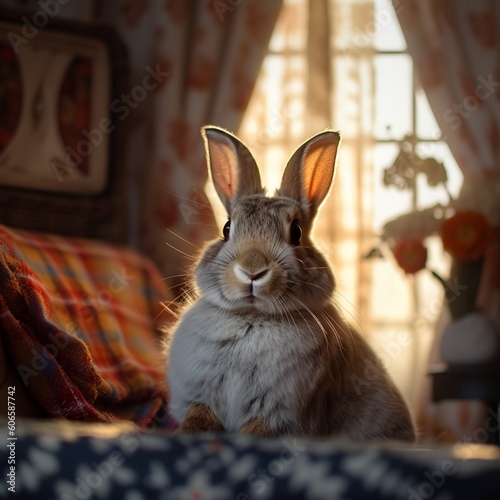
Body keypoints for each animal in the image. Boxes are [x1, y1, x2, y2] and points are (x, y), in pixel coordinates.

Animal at [166, 126, 416, 442]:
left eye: (296, 232)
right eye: (226, 229)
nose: (252, 269)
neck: (252, 317)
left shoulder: (280, 413)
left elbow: (255, 432)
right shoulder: (200, 399)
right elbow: (198, 420)